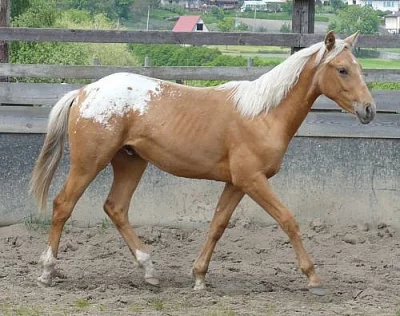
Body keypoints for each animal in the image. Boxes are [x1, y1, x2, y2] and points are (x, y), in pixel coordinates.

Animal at [30, 30, 376, 296]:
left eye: (359, 68)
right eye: (342, 70)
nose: (369, 110)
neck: (262, 114)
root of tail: (84, 91)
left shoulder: (236, 183)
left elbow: (217, 226)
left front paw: (198, 277)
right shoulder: (253, 180)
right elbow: (288, 220)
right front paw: (314, 278)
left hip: (130, 162)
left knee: (116, 208)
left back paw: (149, 270)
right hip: (89, 163)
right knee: (63, 204)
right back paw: (47, 272)